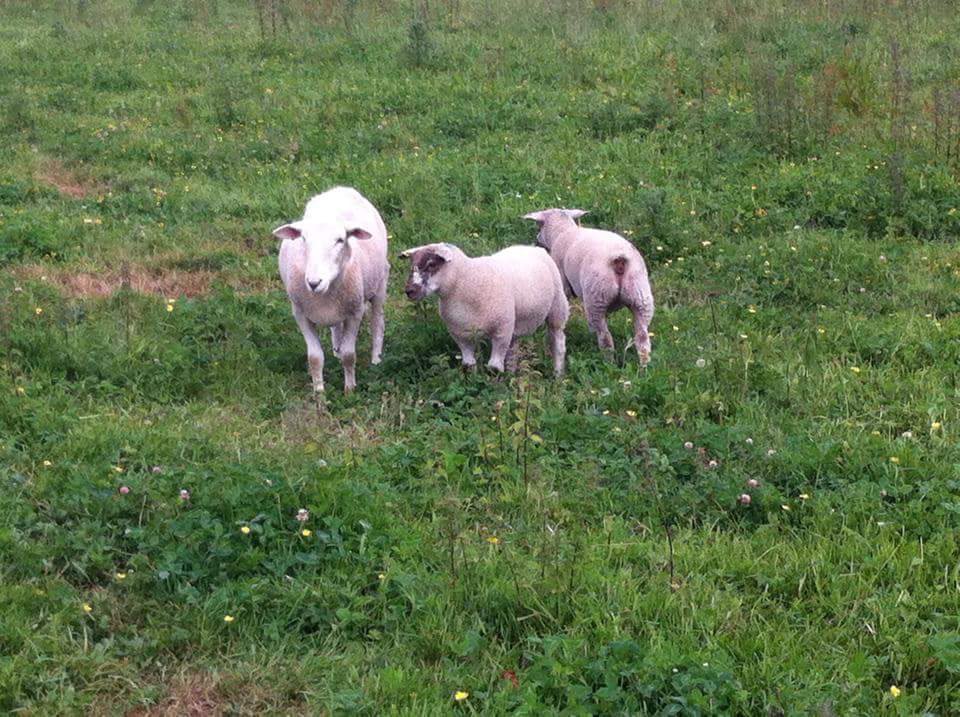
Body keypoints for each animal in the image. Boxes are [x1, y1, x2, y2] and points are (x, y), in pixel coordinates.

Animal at [274, 186, 389, 394]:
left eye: (340, 240)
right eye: (303, 239)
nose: (314, 282)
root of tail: (340, 188)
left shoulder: (355, 312)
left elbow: (349, 355)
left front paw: (349, 390)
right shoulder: (300, 314)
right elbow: (315, 358)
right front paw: (319, 392)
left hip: (380, 283)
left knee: (378, 322)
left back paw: (376, 359)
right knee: (336, 327)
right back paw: (336, 350)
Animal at [401, 242, 569, 377]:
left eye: (431, 264)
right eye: (411, 265)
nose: (409, 291)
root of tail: (532, 247)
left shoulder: (501, 333)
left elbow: (494, 367)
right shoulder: (461, 336)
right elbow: (468, 365)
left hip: (557, 307)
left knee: (558, 342)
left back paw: (557, 375)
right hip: (513, 322)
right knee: (513, 351)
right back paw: (511, 376)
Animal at [523, 208, 654, 365]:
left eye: (539, 226)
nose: (537, 239)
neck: (563, 231)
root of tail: (619, 259)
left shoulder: (563, 283)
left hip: (597, 297)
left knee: (605, 338)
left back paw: (608, 363)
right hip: (640, 297)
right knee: (642, 338)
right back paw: (644, 366)